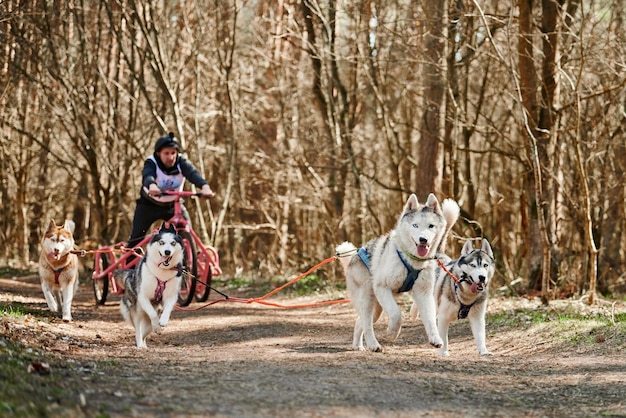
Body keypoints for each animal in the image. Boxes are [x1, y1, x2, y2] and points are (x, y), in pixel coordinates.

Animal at [336, 194, 458, 352]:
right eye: (415, 225)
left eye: (431, 226)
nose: (423, 239)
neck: (411, 260)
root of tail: (353, 257)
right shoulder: (382, 287)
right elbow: (396, 313)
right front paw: (393, 333)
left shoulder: (424, 293)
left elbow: (430, 319)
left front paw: (435, 338)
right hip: (367, 298)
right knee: (367, 324)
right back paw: (373, 344)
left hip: (376, 308)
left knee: (360, 321)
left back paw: (358, 345)